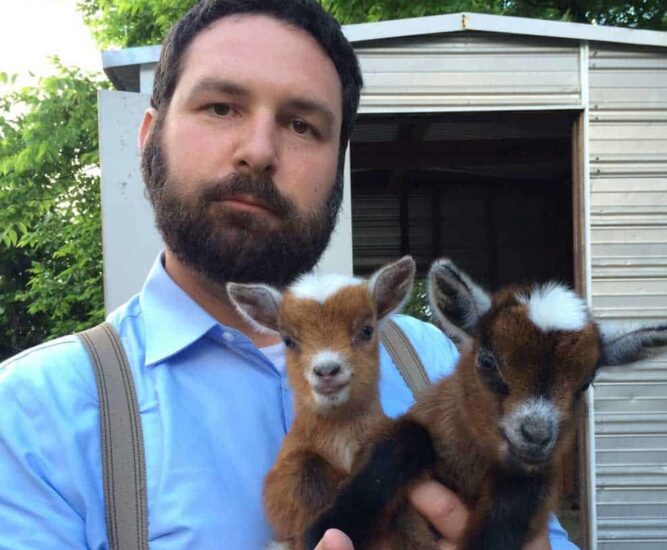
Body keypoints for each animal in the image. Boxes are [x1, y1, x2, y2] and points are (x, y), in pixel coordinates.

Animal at [306, 258, 667, 550]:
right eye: (487, 362)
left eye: (586, 382)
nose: (536, 435)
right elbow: (405, 438)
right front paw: (331, 526)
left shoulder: (534, 479)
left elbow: (515, 503)